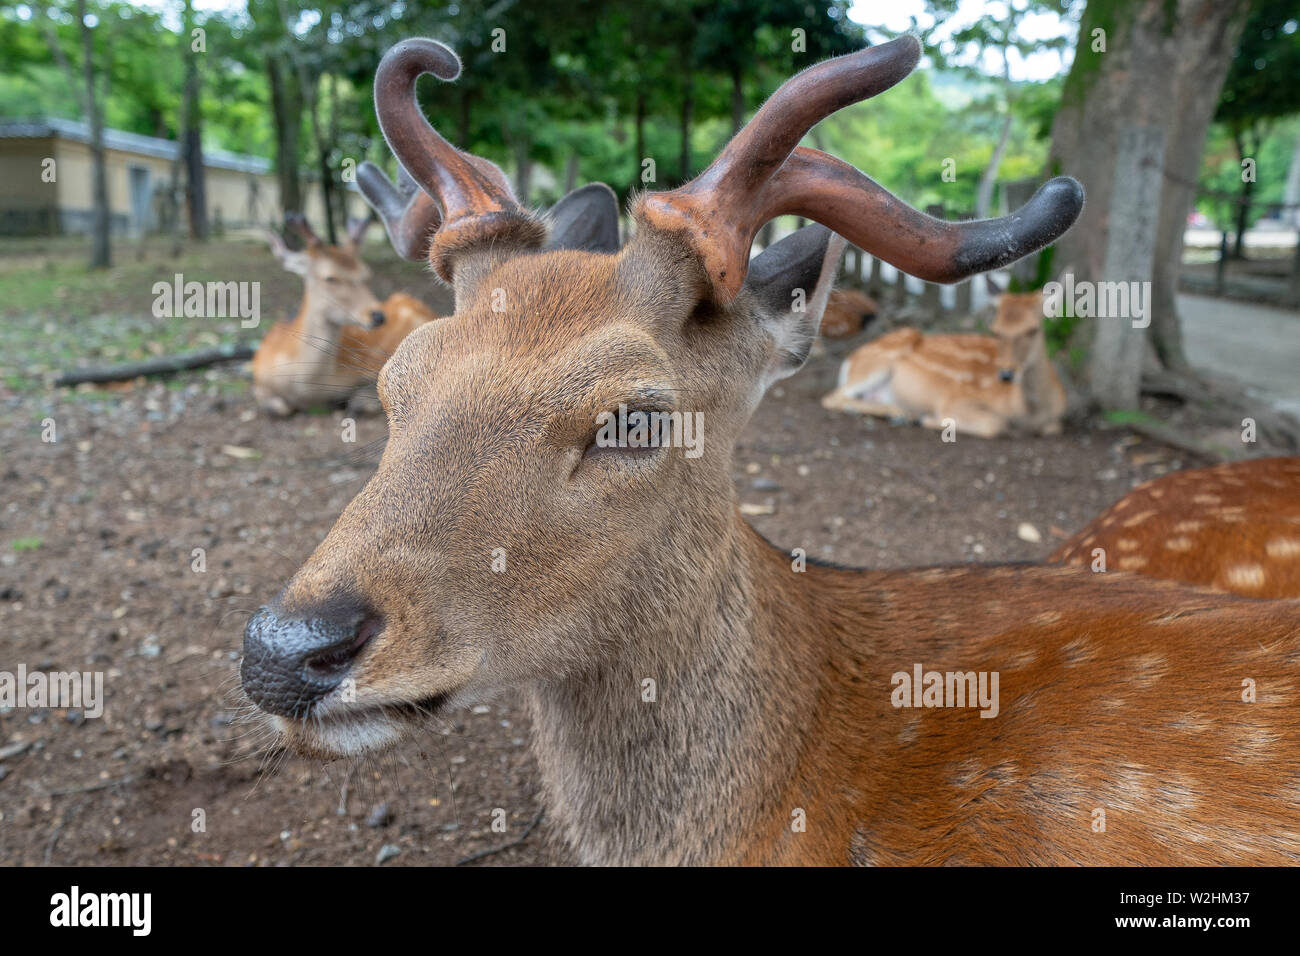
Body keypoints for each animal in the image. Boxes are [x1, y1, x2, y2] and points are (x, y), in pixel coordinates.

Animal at [821, 287, 1066, 437]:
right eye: (995, 330)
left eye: (1033, 329)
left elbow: (1052, 428)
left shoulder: (1055, 421)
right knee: (832, 397)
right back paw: (903, 414)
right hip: (879, 360)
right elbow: (994, 425)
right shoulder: (955, 400)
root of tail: (850, 360)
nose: (1006, 374)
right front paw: (926, 418)